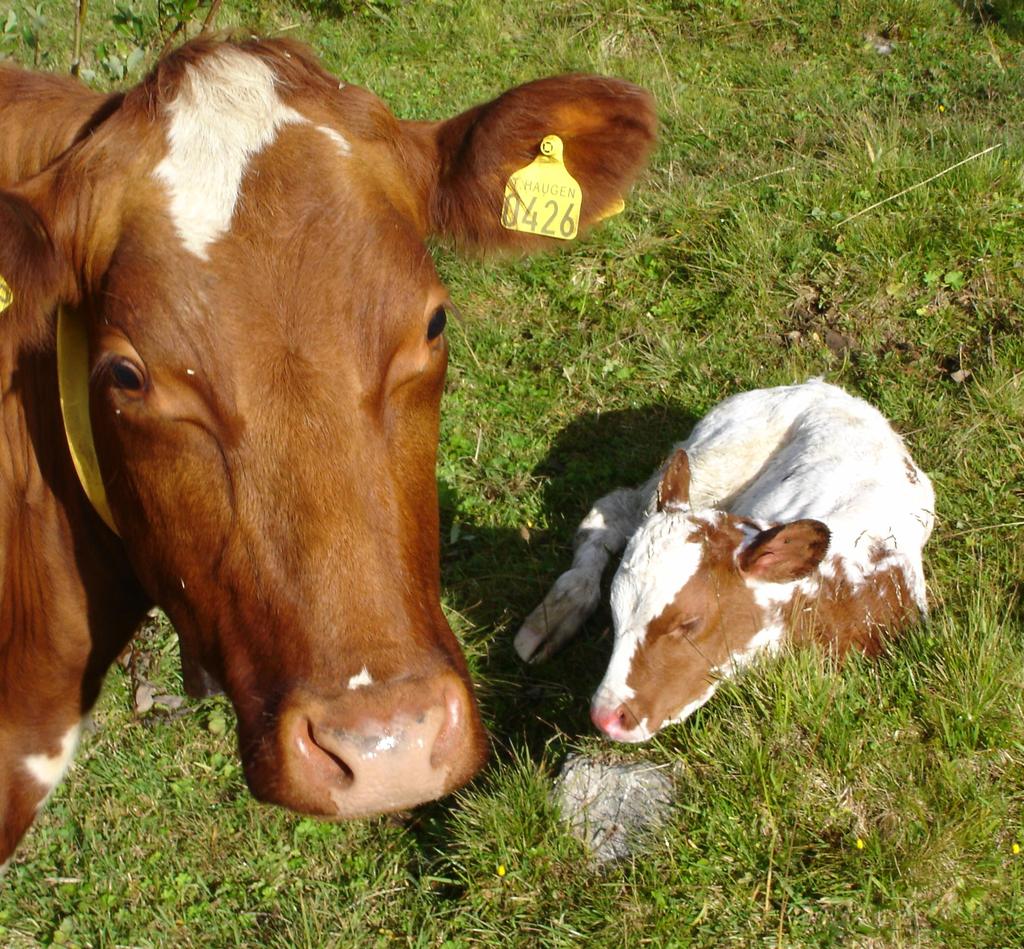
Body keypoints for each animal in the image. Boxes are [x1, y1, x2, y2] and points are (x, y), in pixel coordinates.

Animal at [520, 378, 937, 741]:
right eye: (615, 608)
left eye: (690, 623)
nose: (605, 716)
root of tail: (824, 387)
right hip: (713, 458)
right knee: (614, 507)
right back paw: (554, 615)